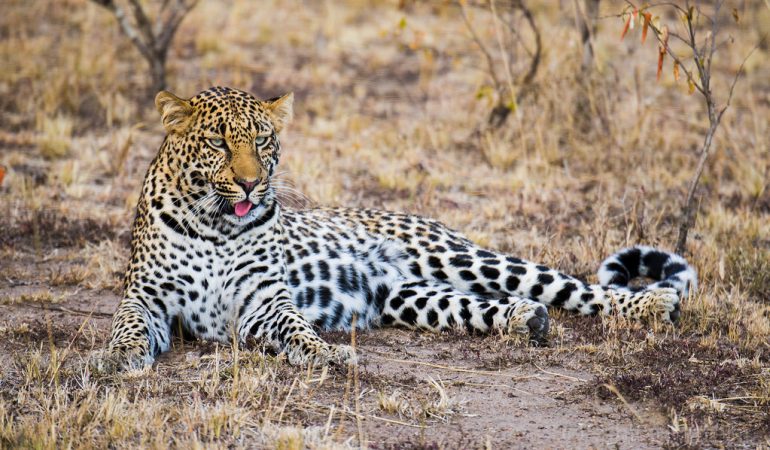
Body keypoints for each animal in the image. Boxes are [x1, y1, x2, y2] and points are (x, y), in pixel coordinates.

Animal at [94, 86, 697, 371]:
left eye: (263, 141)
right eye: (218, 143)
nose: (250, 184)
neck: (215, 224)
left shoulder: (264, 303)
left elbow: (298, 330)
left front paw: (326, 355)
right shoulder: (147, 298)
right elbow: (128, 327)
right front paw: (117, 358)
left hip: (464, 257)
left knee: (578, 288)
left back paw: (653, 305)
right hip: (412, 298)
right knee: (484, 306)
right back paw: (526, 321)